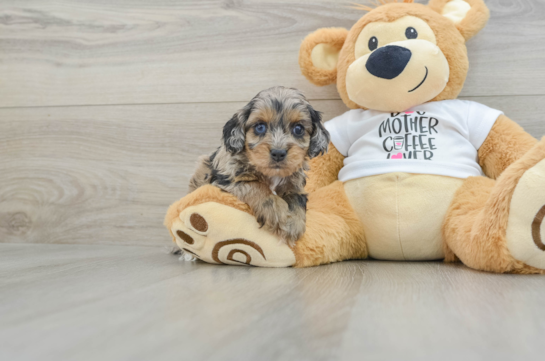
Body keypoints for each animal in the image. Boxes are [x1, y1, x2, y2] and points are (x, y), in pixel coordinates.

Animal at [189, 86, 330, 245]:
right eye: (260, 127)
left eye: (298, 129)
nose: (278, 153)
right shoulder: (226, 178)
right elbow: (257, 186)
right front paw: (277, 211)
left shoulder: (295, 186)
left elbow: (297, 200)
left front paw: (293, 224)